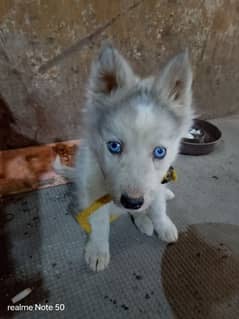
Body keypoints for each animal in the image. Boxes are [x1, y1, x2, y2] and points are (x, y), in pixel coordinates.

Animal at [55, 42, 193, 272]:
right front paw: (98, 249)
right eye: (114, 146)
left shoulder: (156, 180)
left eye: (160, 152)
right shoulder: (93, 185)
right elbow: (100, 221)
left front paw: (163, 224)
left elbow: (157, 207)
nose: (132, 201)